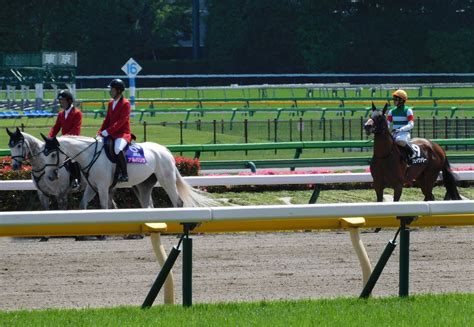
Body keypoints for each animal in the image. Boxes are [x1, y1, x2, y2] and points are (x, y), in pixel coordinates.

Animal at [42, 135, 217, 210]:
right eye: (44, 153)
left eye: (53, 154)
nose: (50, 176)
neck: (90, 154)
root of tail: (164, 151)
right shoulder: (92, 187)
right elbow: (83, 204)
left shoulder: (103, 187)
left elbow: (104, 206)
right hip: (144, 184)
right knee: (147, 204)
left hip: (166, 180)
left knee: (178, 202)